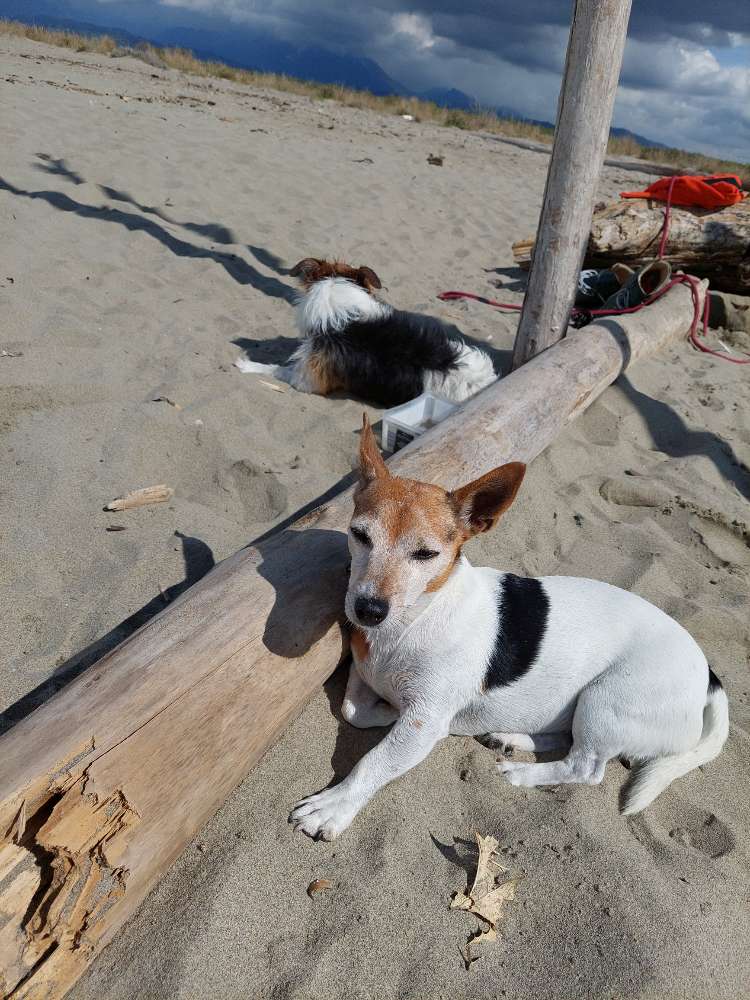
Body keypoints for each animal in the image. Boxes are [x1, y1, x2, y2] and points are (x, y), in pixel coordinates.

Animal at [290, 418, 732, 840]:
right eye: (360, 535)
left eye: (426, 554)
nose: (368, 610)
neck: (416, 616)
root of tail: (709, 675)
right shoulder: (368, 677)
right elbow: (353, 710)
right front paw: (384, 710)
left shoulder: (424, 720)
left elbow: (375, 760)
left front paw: (333, 805)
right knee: (567, 738)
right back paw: (512, 738)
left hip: (606, 698)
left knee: (585, 766)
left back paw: (523, 773)